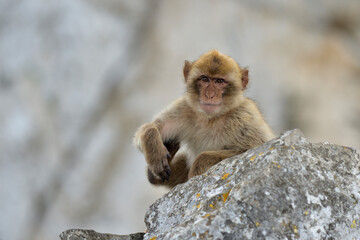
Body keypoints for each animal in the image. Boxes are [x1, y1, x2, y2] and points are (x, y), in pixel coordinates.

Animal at [134, 49, 274, 188]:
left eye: (219, 81)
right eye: (204, 79)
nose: (209, 95)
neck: (211, 119)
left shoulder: (245, 117)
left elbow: (254, 148)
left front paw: (200, 162)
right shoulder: (184, 108)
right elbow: (149, 128)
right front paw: (154, 148)